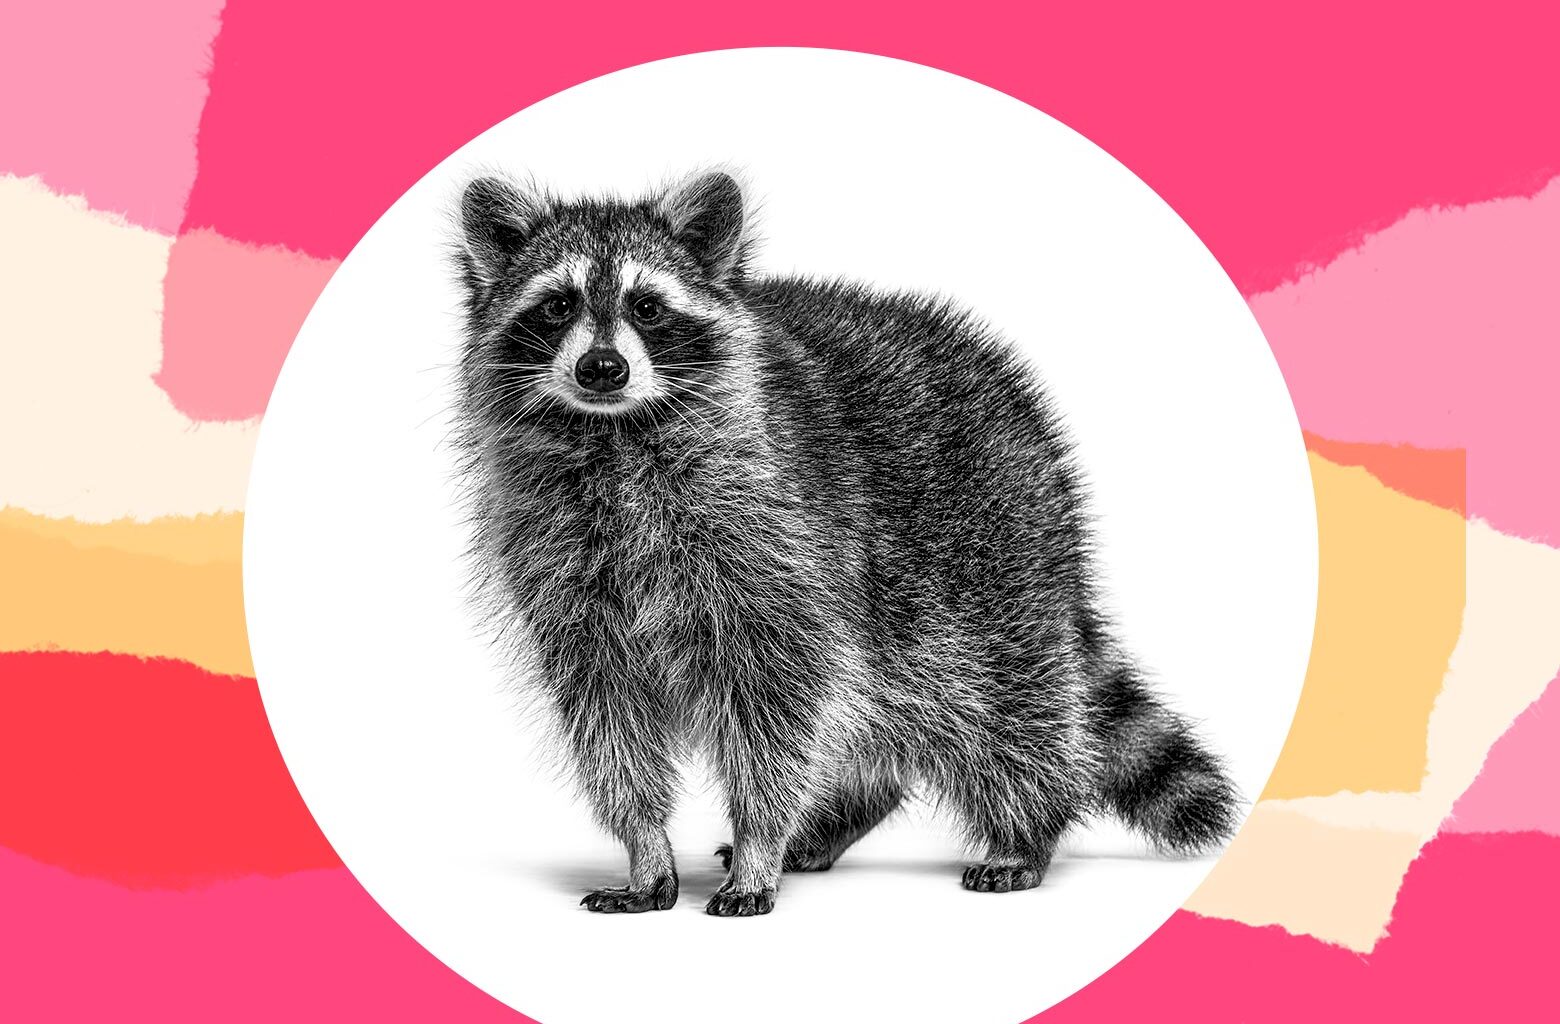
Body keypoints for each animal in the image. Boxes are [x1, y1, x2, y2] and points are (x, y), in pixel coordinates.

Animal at [450, 169, 1237, 917]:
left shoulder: (776, 539)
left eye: (647, 306)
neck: (614, 432)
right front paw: (645, 845)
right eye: (558, 305)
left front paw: (761, 838)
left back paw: (1027, 828)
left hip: (990, 551)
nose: (602, 368)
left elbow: (777, 708)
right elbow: (609, 718)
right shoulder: (564, 567)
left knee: (1006, 695)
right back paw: (843, 815)